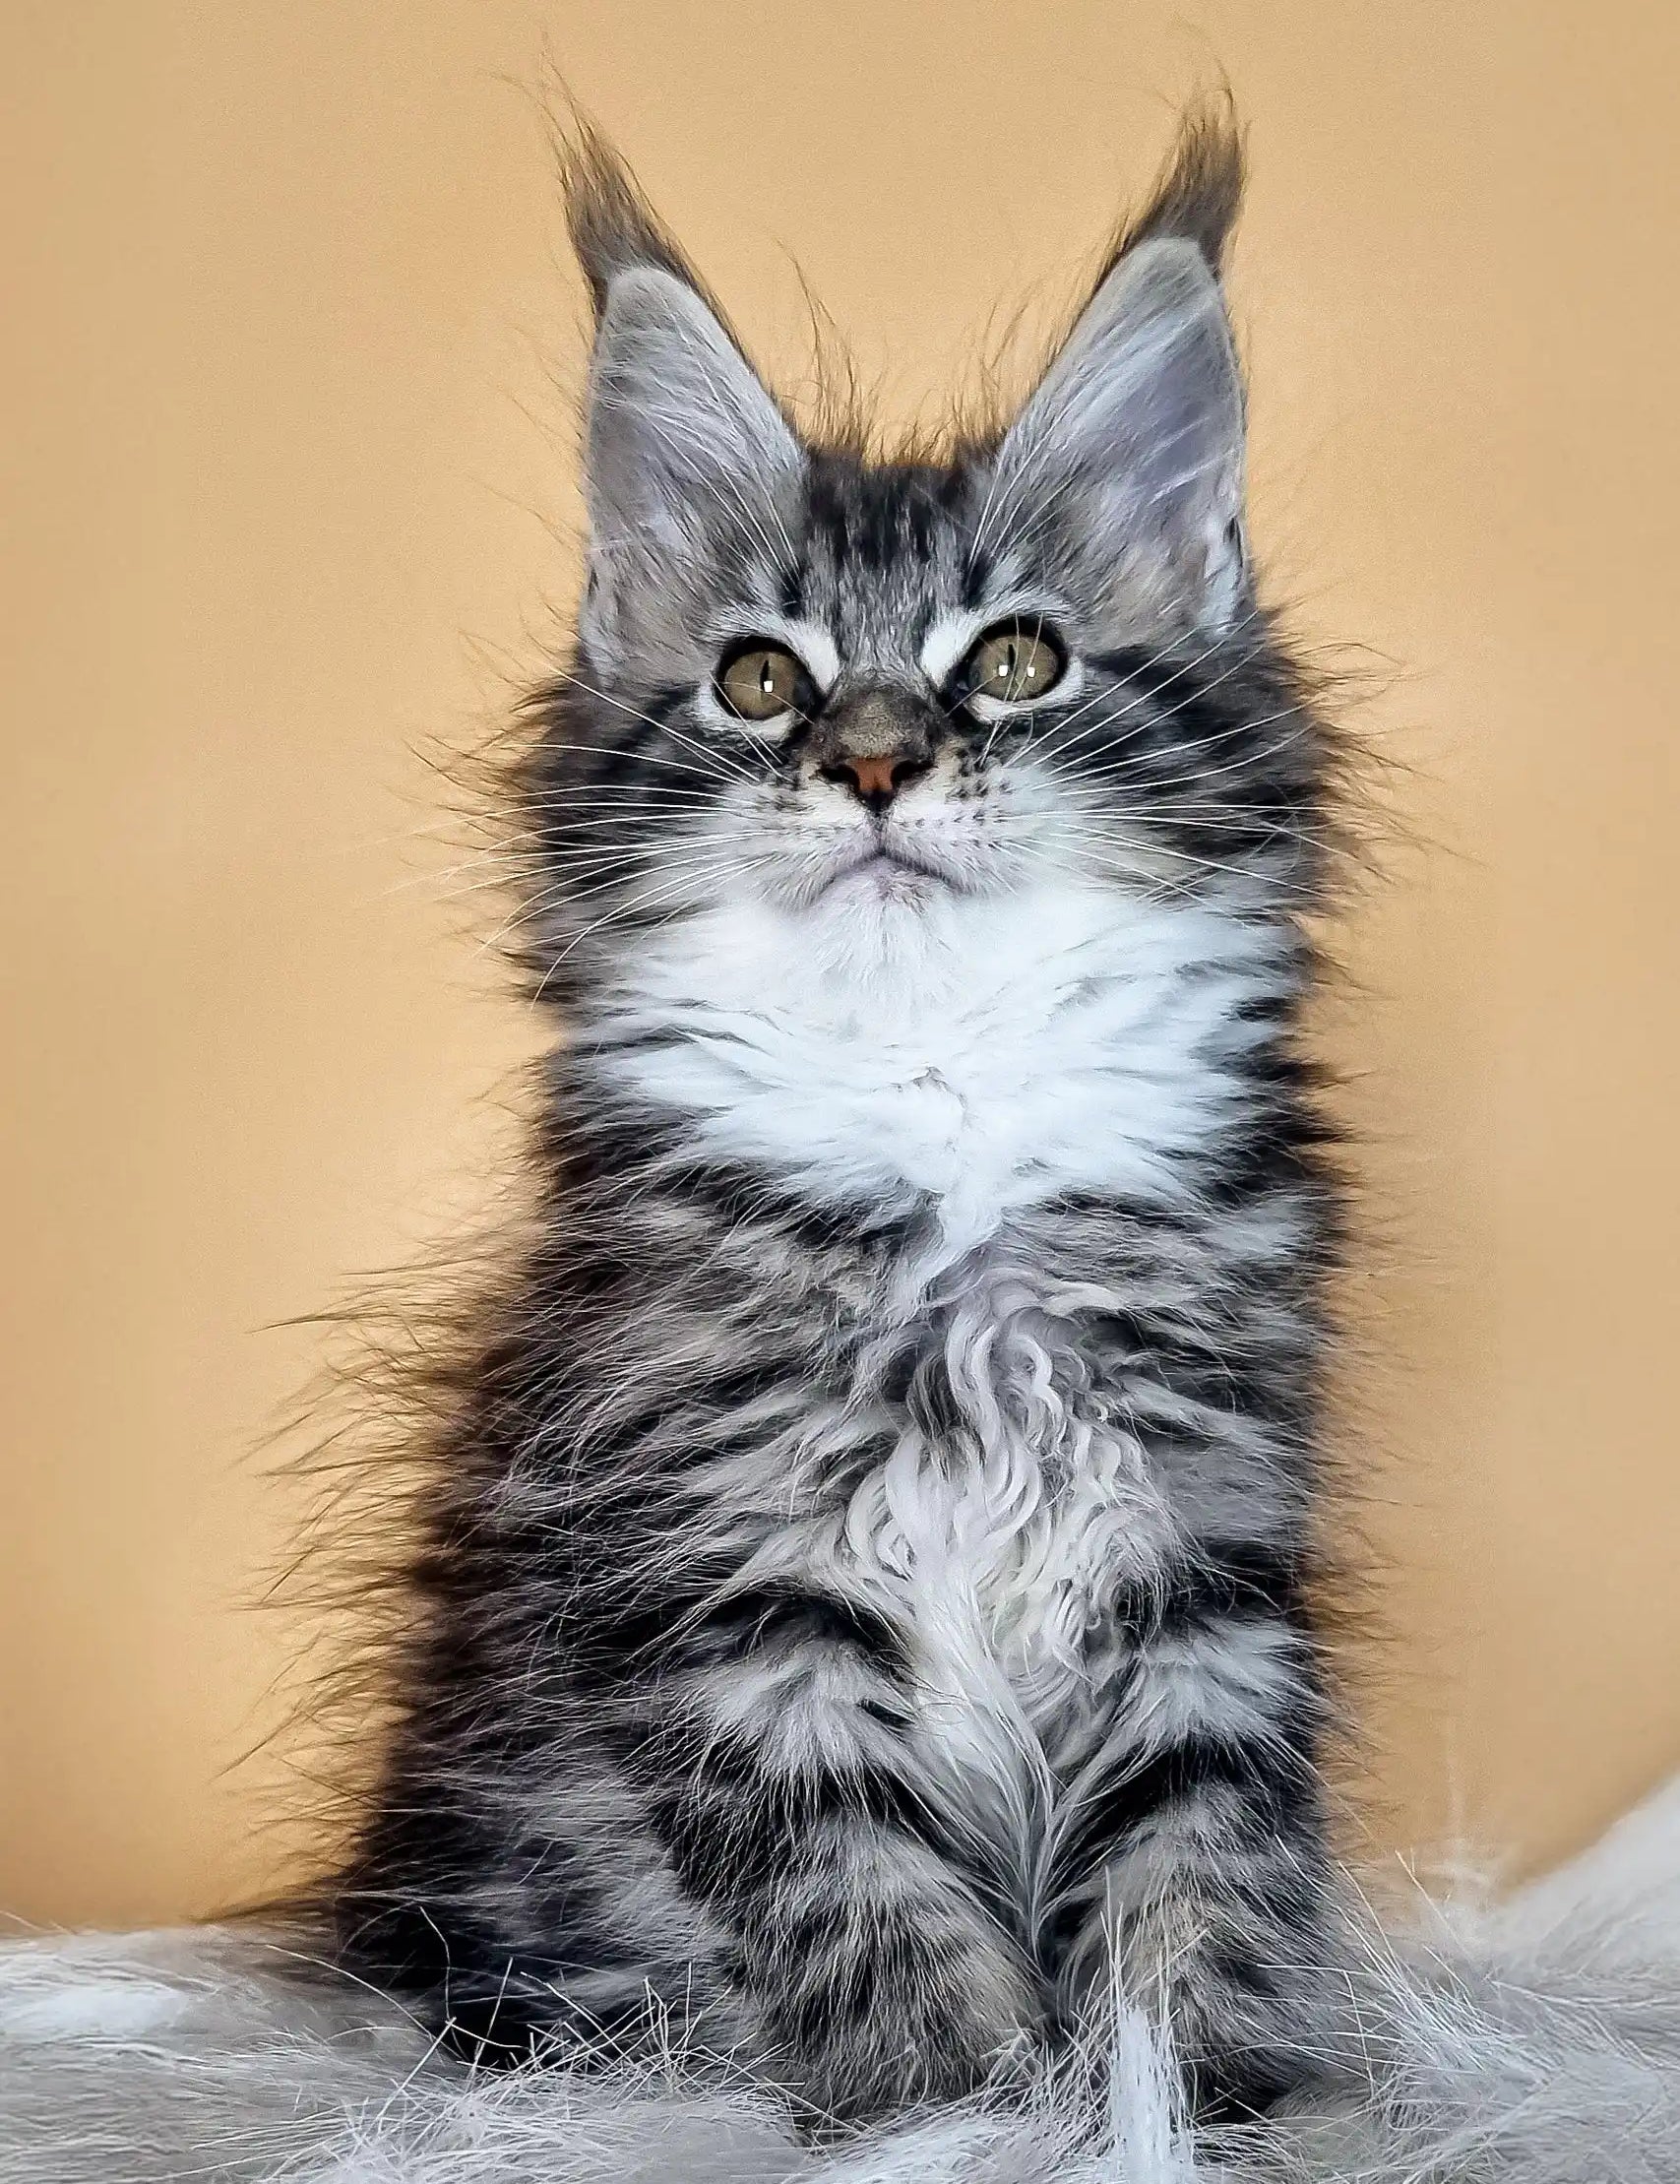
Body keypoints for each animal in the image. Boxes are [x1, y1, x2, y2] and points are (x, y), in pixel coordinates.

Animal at [332, 110, 1345, 2122]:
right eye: (759, 679)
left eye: (1014, 661)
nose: (872, 761)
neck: (937, 1101)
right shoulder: (726, 1581)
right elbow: (861, 1897)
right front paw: (955, 2106)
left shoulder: (1193, 1538)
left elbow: (1191, 1864)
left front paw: (1181, 2098)